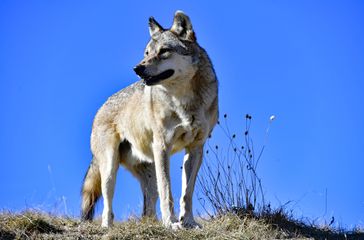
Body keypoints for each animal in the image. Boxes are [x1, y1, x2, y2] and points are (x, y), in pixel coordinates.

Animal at [81, 10, 218, 230]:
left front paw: (188, 222)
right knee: (108, 207)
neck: (184, 101)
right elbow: (168, 192)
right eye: (146, 53)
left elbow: (186, 194)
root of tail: (100, 108)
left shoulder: (196, 148)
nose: (137, 68)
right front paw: (171, 224)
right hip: (110, 168)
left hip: (150, 172)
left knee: (147, 210)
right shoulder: (162, 146)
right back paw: (107, 228)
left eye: (164, 51)